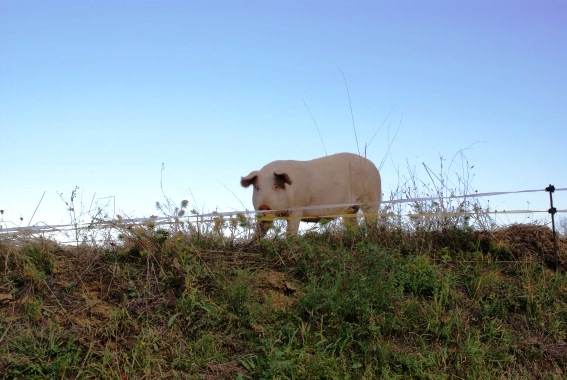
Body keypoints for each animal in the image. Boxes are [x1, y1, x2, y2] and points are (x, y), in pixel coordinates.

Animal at [240, 152, 382, 238]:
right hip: (350, 208)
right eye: (257, 187)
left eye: (276, 187)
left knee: (371, 221)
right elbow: (260, 230)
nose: (263, 207)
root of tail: (373, 165)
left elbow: (291, 232)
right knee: (352, 224)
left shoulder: (297, 208)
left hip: (372, 197)